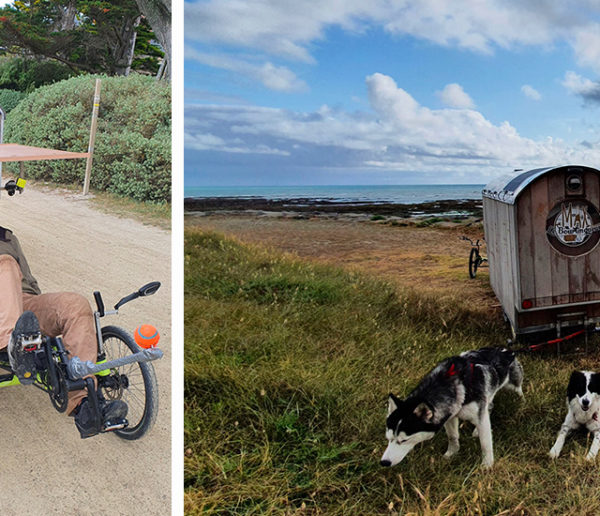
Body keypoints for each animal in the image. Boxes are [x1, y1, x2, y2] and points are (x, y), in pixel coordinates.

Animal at [382, 348, 524, 470]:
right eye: (388, 438)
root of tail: (505, 350)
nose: (384, 462)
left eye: (404, 440)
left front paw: (487, 465)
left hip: (513, 385)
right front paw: (451, 454)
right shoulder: (451, 414)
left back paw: (522, 403)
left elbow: (485, 443)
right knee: (489, 406)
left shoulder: (478, 415)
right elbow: (453, 436)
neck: (447, 383)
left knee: (518, 392)